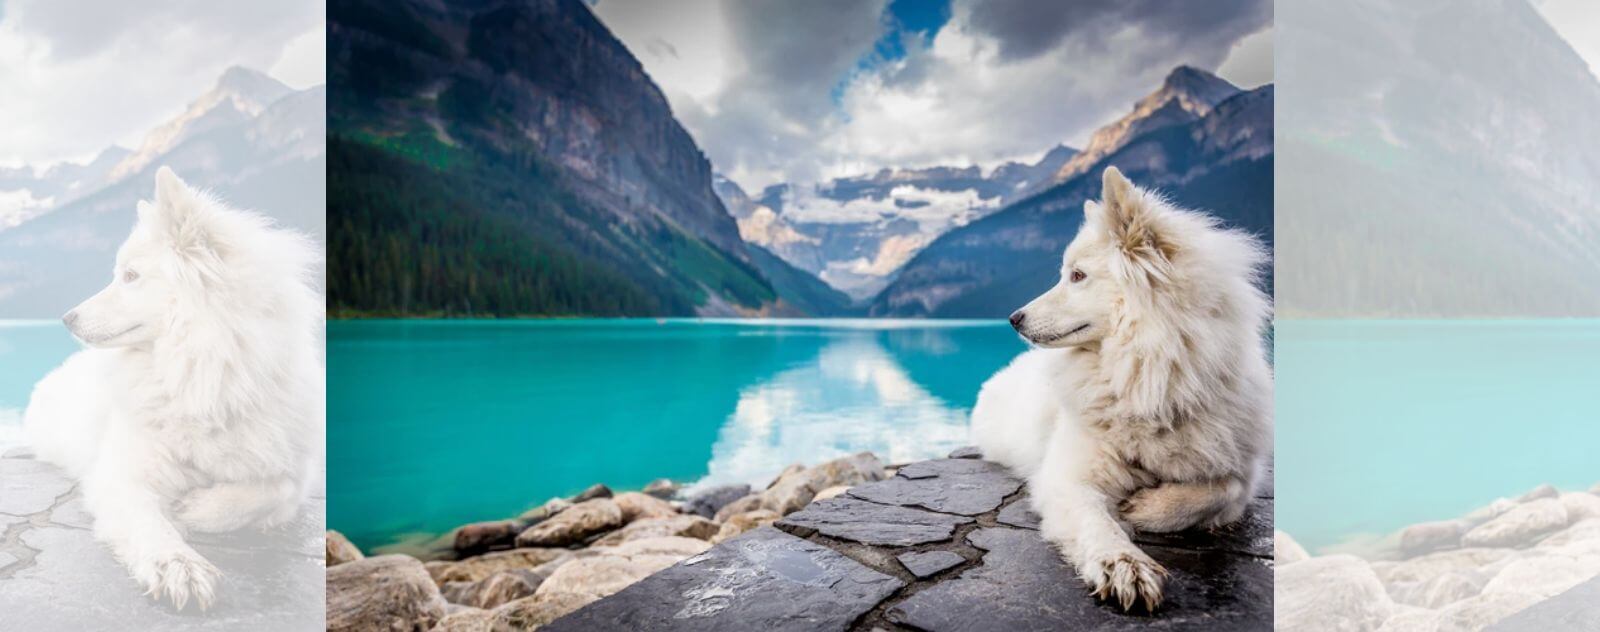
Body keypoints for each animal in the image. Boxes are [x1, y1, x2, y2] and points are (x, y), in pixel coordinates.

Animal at [23, 167, 323, 608]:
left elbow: (268, 490)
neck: (201, 377)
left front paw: (198, 508)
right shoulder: (124, 476)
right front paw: (177, 565)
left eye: (130, 276)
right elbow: (151, 525)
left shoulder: (292, 472)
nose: (66, 318)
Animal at [966, 168, 1267, 614]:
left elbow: (1218, 490)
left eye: (1077, 275)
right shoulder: (1069, 478)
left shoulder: (1241, 472)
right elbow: (1098, 524)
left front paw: (1146, 508)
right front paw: (1123, 564)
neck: (1148, 379)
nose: (1013, 318)